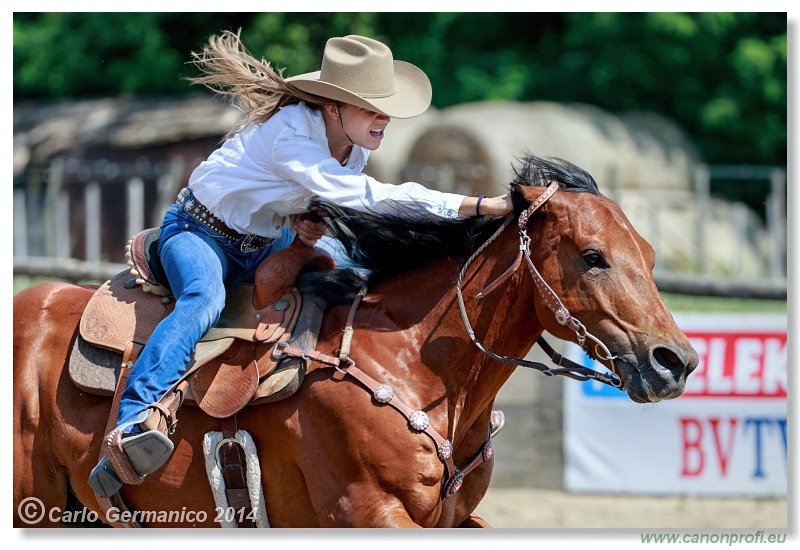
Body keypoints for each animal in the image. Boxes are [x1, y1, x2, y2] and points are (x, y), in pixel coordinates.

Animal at [14, 156, 700, 532]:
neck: (417, 366)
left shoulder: (454, 517)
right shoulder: (367, 509)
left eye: (649, 256)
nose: (677, 361)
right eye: (593, 256)